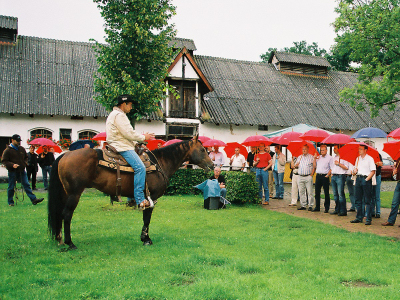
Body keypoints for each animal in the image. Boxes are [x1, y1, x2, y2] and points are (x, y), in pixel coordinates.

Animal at [48, 137, 214, 250]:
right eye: (202, 150)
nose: (212, 165)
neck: (160, 163)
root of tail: (65, 155)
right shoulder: (151, 197)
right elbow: (147, 218)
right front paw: (146, 239)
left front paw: (144, 238)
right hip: (74, 194)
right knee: (67, 215)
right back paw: (70, 243)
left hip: (65, 193)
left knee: (59, 214)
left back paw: (59, 239)